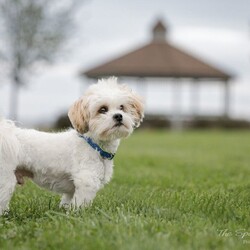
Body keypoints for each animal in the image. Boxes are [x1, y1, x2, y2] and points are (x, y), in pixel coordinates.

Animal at [0, 77, 144, 214]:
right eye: (102, 109)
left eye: (122, 107)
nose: (118, 116)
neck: (94, 146)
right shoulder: (86, 181)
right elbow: (80, 206)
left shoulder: (71, 190)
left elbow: (67, 203)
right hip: (5, 178)